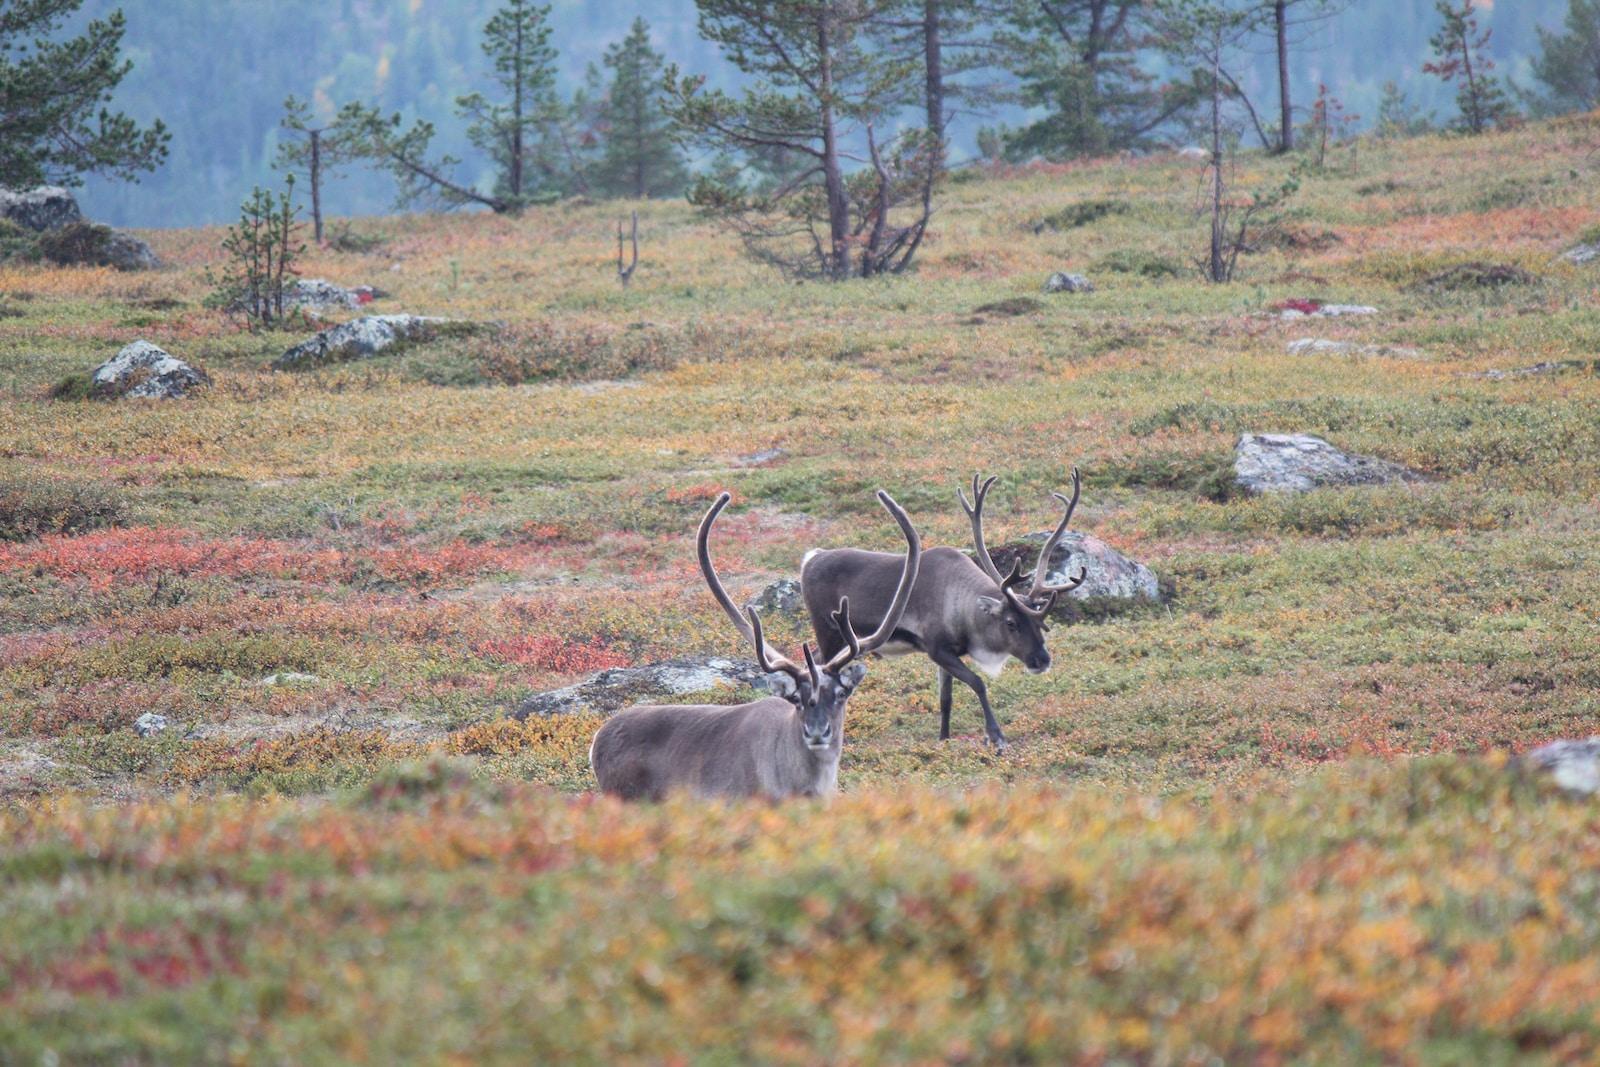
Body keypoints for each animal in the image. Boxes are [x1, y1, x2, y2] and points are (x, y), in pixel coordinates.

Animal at [800, 470, 1086, 753]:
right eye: (1011, 623)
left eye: (1040, 622)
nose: (1042, 660)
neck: (961, 607)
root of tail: (810, 558)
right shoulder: (937, 648)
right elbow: (978, 683)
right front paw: (996, 736)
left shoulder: (948, 653)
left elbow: (945, 698)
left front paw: (944, 739)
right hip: (828, 630)